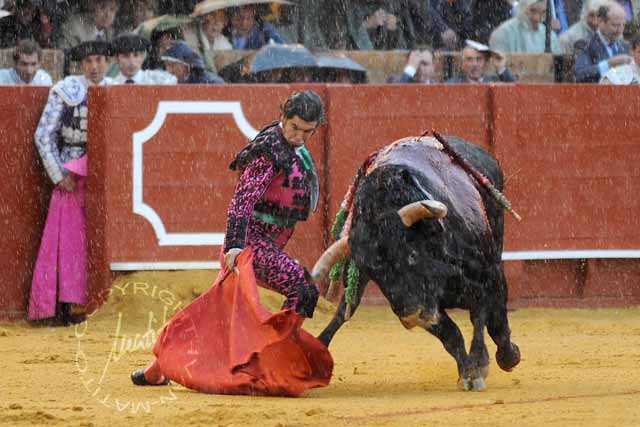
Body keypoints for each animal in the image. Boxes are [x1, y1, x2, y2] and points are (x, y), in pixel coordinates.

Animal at [314, 135, 520, 392]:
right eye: (373, 274)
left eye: (411, 255)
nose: (411, 316)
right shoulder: (422, 303)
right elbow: (451, 334)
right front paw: (468, 372)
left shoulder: (484, 277)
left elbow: (483, 318)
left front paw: (485, 362)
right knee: (344, 311)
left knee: (497, 313)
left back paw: (508, 355)